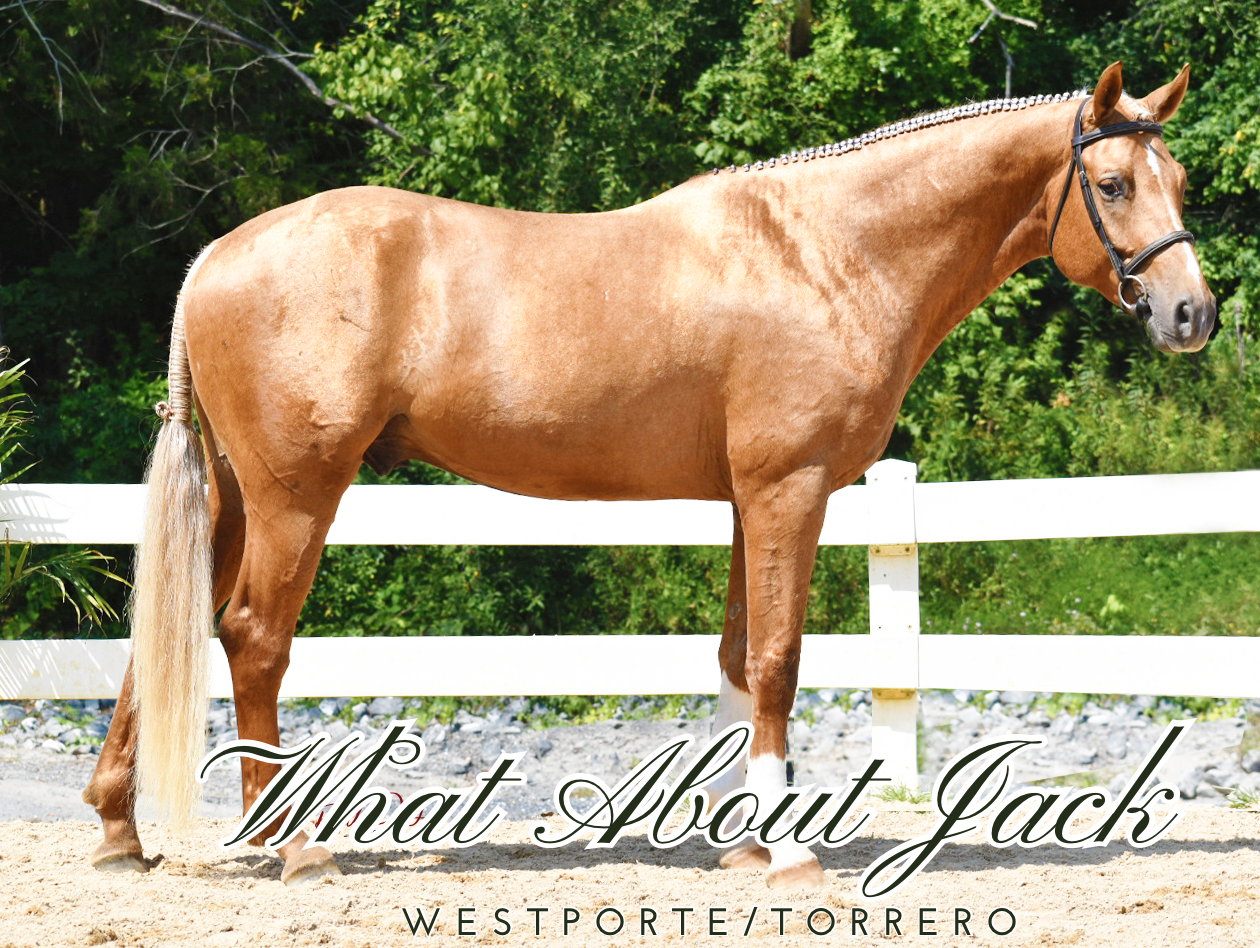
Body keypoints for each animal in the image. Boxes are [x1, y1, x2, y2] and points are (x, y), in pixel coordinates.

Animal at [82, 62, 1215, 888]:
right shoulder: (791, 491)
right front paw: (789, 851)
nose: (1191, 314)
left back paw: (119, 832)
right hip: (296, 496)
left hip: (233, 494)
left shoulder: (749, 501)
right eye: (1112, 185)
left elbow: (735, 656)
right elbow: (779, 661)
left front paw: (741, 839)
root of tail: (216, 254)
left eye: (1182, 185)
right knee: (253, 639)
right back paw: (294, 843)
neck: (824, 252)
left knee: (173, 628)